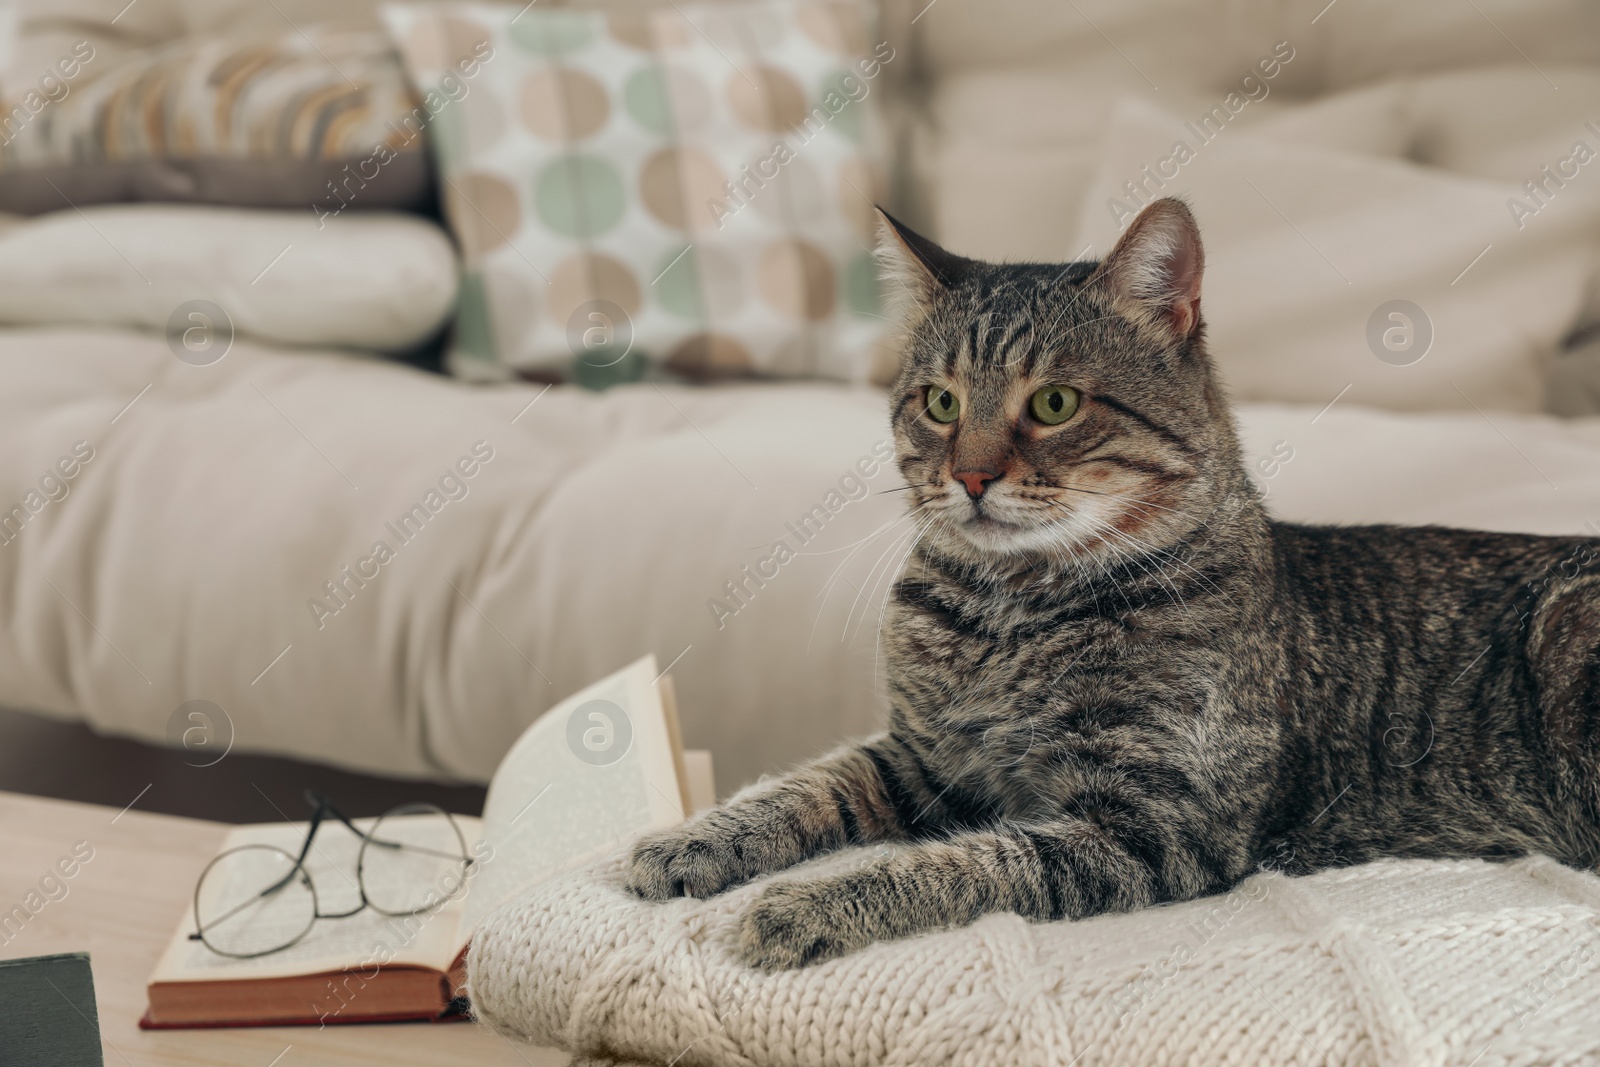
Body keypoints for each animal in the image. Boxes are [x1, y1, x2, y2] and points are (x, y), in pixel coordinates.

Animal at [624, 195, 1600, 972]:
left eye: (1054, 403)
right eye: (940, 403)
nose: (969, 475)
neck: (1010, 610)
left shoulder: (1152, 826)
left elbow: (965, 863)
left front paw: (807, 904)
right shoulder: (922, 759)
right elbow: (803, 785)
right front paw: (690, 840)